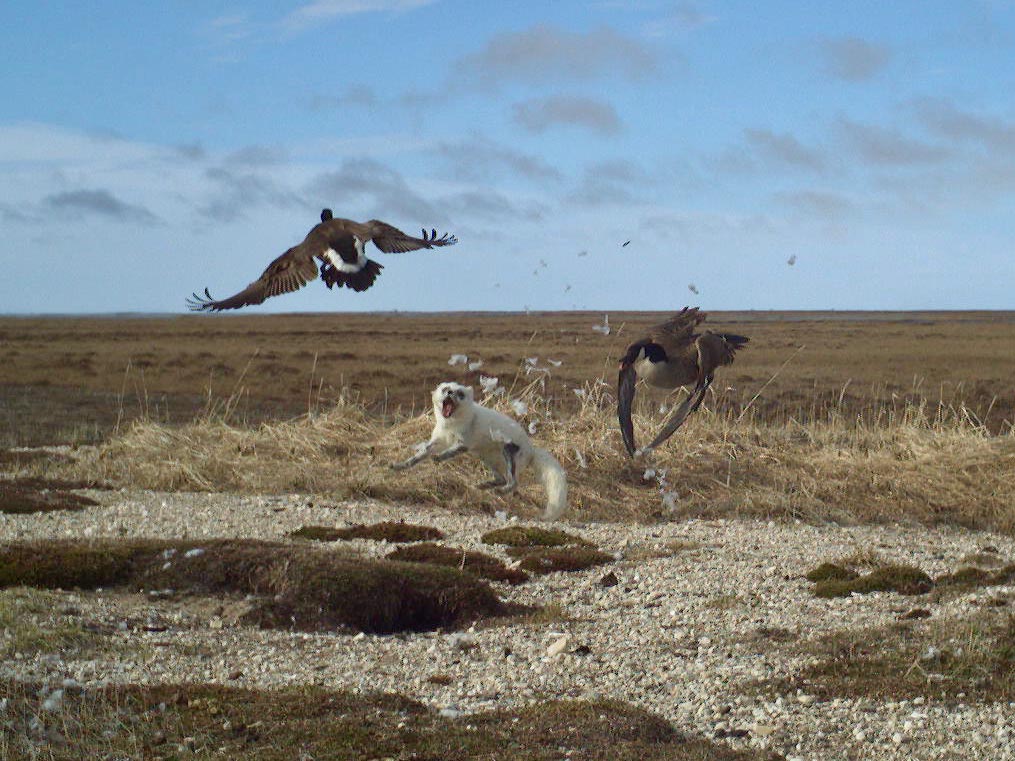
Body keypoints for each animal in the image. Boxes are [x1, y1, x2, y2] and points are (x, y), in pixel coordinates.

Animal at [391, 382, 568, 521]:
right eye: (445, 389)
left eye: (460, 394)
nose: (450, 393)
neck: (451, 425)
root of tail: (532, 450)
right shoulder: (438, 440)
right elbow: (418, 456)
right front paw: (399, 466)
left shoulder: (463, 444)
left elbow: (448, 452)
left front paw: (438, 458)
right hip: (486, 458)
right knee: (501, 478)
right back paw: (483, 485)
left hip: (508, 452)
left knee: (513, 481)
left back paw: (501, 491)